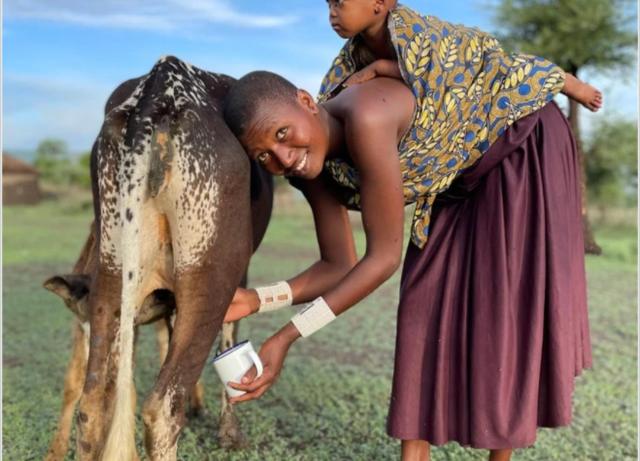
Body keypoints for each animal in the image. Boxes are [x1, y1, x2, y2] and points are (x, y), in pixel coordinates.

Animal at [47, 57, 272, 460]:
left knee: (94, 405)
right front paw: (230, 434)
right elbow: (229, 337)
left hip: (114, 264)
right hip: (212, 273)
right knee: (163, 408)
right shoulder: (238, 273)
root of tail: (156, 93)